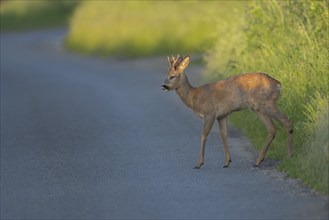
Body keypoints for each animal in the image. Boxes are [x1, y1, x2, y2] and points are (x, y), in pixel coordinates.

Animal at [160, 55, 290, 168]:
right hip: (258, 108)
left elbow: (204, 135)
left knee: (286, 121)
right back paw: (258, 161)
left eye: (172, 76)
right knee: (272, 128)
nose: (164, 86)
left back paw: (288, 156)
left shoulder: (210, 113)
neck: (194, 96)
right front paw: (227, 161)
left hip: (266, 103)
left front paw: (199, 163)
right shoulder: (222, 115)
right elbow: (224, 135)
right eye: (166, 75)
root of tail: (279, 85)